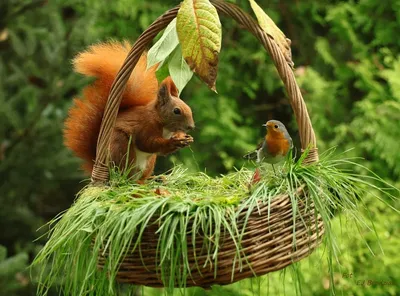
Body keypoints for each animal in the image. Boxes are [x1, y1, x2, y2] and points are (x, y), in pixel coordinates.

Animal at [64, 41, 195, 180]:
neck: (162, 124)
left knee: (142, 178)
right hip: (121, 147)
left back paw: (155, 179)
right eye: (176, 111)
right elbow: (147, 143)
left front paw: (184, 138)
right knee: (126, 175)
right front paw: (174, 141)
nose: (191, 126)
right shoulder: (145, 126)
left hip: (149, 162)